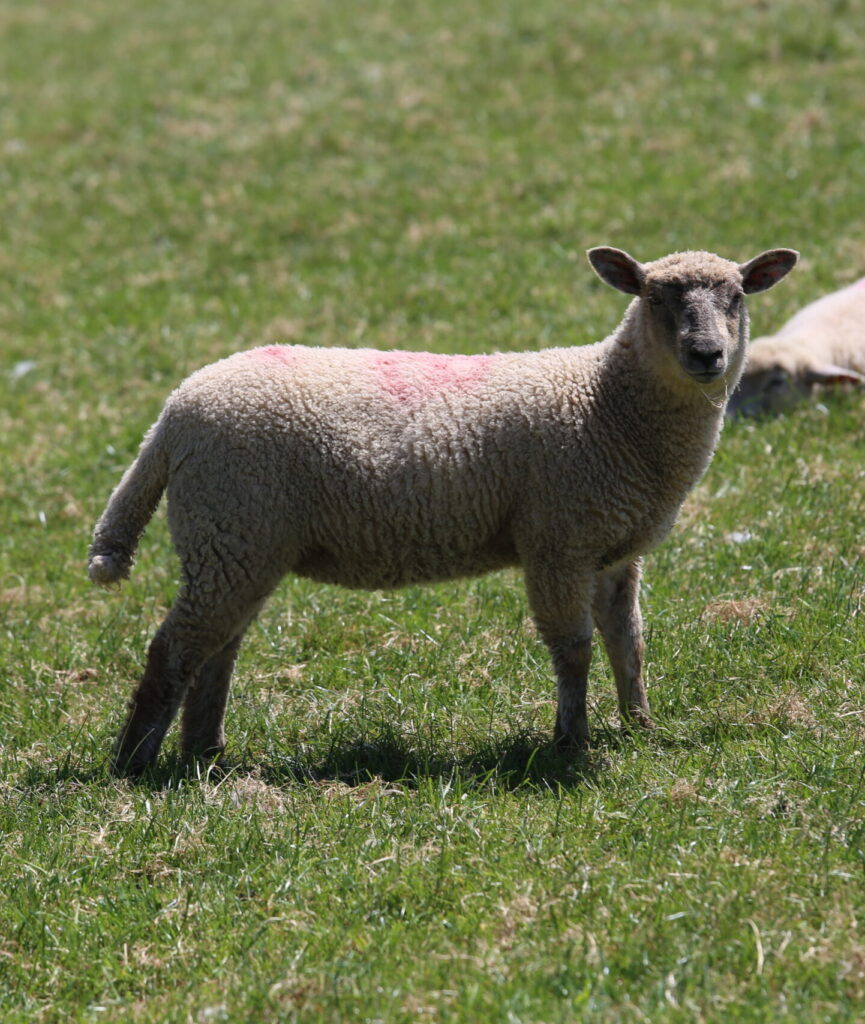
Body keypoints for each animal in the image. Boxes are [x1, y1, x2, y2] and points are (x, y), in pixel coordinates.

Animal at [89, 245, 798, 775]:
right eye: (654, 297)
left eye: (738, 297)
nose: (706, 355)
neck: (607, 405)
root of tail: (172, 416)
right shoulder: (557, 540)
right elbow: (573, 648)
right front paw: (570, 742)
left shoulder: (613, 552)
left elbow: (630, 644)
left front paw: (640, 728)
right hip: (231, 528)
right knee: (173, 650)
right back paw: (136, 766)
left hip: (240, 543)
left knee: (216, 650)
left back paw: (205, 753)